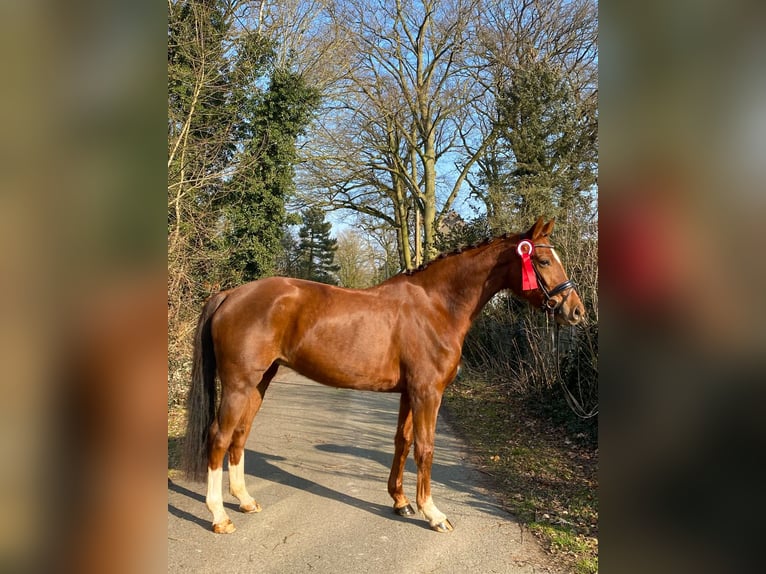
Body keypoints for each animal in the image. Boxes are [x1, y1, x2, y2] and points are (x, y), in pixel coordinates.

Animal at [183, 217, 584, 536]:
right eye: (543, 260)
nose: (576, 311)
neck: (436, 306)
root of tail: (231, 293)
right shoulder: (427, 393)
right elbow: (425, 448)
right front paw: (432, 513)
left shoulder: (410, 393)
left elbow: (402, 443)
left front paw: (400, 501)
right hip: (238, 385)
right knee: (219, 437)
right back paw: (219, 516)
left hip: (259, 383)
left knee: (239, 435)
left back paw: (245, 500)